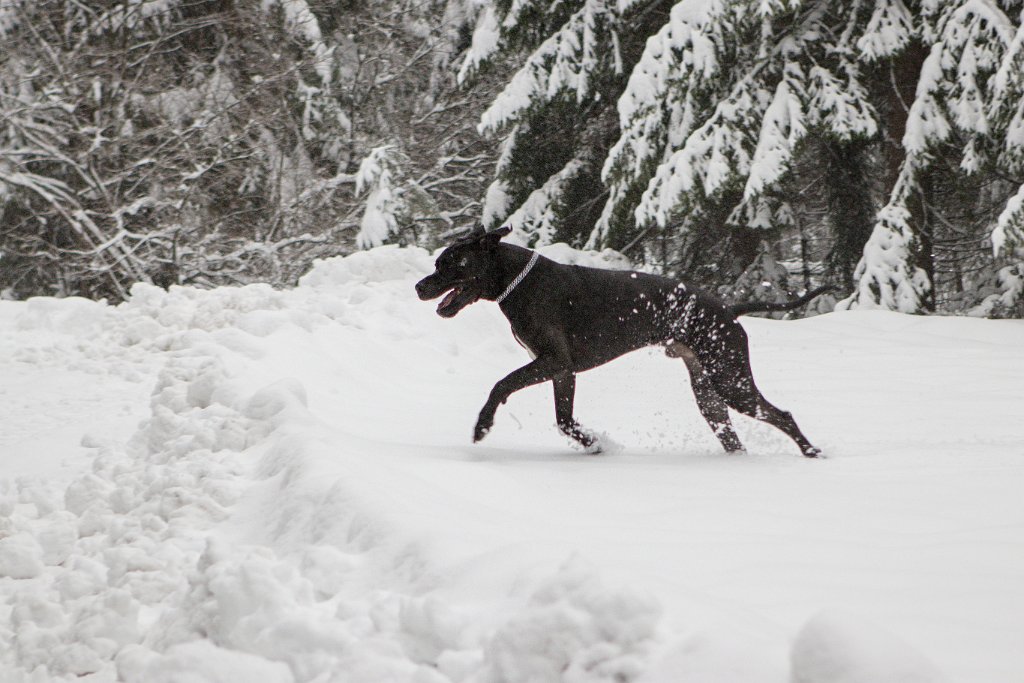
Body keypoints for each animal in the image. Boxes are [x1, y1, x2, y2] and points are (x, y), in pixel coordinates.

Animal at [415, 227, 823, 456]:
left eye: (449, 263)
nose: (419, 286)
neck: (519, 282)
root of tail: (729, 308)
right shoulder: (562, 372)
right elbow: (565, 421)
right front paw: (595, 444)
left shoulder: (553, 362)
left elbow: (501, 384)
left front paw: (483, 425)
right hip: (709, 393)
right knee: (730, 433)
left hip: (729, 379)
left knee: (782, 415)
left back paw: (812, 453)